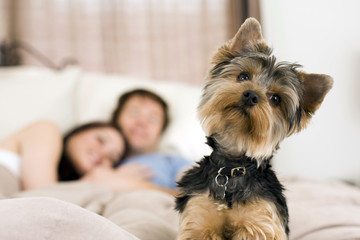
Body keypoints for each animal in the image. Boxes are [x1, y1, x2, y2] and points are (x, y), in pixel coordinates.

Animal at [176, 17, 334, 239]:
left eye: (276, 99)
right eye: (243, 76)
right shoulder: (198, 212)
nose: (250, 95)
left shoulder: (260, 220)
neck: (232, 169)